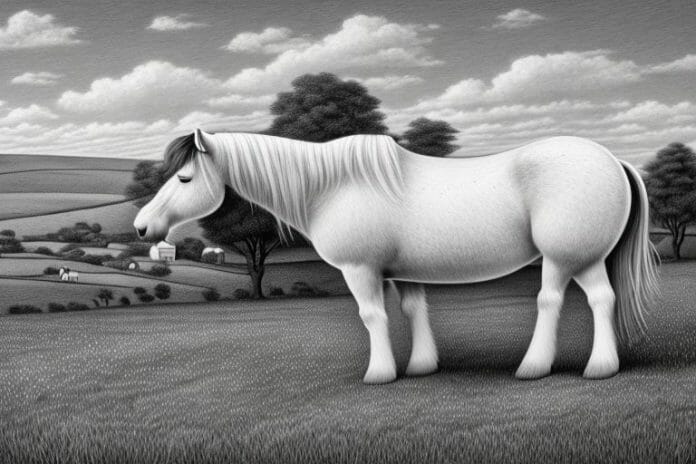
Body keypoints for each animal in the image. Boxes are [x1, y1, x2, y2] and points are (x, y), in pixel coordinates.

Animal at [134, 129, 659, 384]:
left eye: (184, 178)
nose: (142, 226)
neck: (333, 187)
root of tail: (612, 161)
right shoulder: (403, 272)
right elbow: (413, 310)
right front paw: (421, 366)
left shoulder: (361, 271)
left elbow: (373, 317)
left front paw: (379, 374)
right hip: (586, 258)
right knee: (602, 300)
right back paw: (602, 367)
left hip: (563, 256)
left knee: (552, 301)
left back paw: (536, 367)